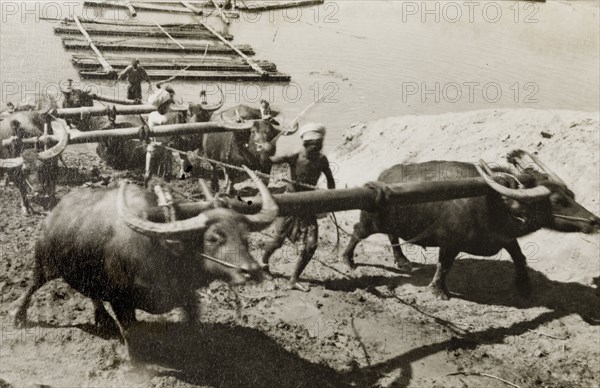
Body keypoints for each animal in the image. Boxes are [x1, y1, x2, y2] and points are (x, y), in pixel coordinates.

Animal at [13, 167, 276, 360]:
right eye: (213, 238)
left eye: (245, 237)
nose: (252, 271)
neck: (164, 250)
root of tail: (55, 211)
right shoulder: (121, 301)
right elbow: (130, 333)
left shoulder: (186, 297)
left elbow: (192, 323)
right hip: (44, 261)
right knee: (33, 284)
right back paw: (18, 315)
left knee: (93, 293)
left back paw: (102, 319)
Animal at [342, 151, 600, 300]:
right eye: (557, 201)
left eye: (571, 195)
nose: (594, 221)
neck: (497, 204)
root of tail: (382, 178)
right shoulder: (450, 243)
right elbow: (444, 265)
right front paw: (439, 291)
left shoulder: (505, 238)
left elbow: (519, 257)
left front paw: (524, 286)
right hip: (370, 221)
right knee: (358, 233)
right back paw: (348, 260)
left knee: (392, 236)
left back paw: (403, 261)